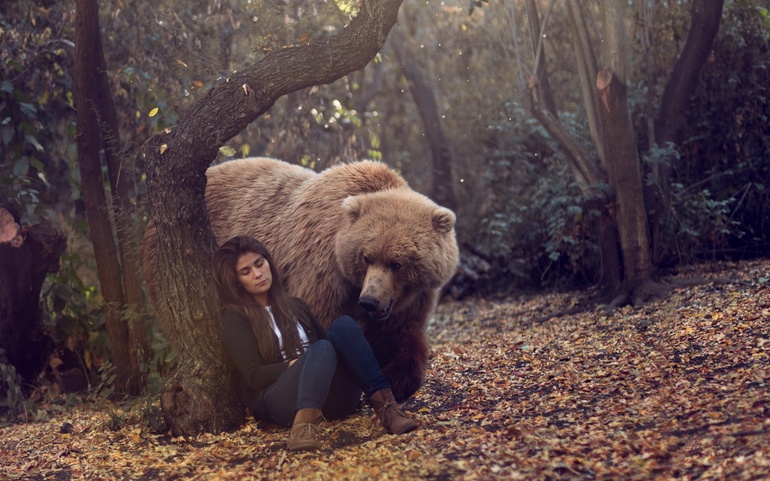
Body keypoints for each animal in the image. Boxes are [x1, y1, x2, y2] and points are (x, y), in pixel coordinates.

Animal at [142, 158, 456, 402]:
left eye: (397, 263)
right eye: (366, 257)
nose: (370, 301)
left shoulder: (410, 299)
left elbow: (403, 335)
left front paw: (395, 378)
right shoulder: (322, 270)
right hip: (174, 264)